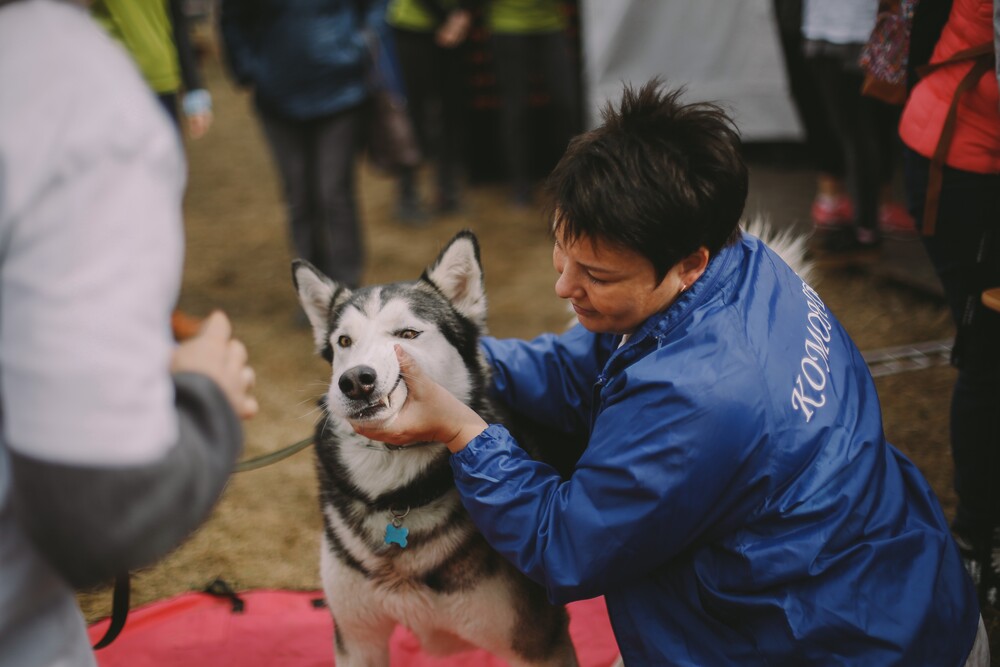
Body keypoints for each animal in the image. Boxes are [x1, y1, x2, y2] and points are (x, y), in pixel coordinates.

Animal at [292, 231, 580, 667]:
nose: (355, 380)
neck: (393, 489)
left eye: (408, 335)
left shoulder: (537, 644)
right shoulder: (358, 640)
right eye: (343, 341)